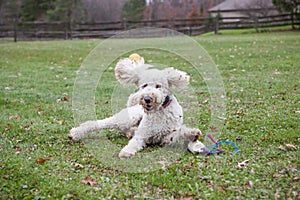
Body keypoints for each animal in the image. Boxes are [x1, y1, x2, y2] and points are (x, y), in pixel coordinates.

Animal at [69, 54, 205, 159]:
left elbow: (180, 133)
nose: (147, 98)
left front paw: (193, 136)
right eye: (144, 85)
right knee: (98, 123)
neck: (159, 112)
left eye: (158, 86)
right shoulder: (142, 135)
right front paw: (127, 151)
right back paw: (76, 133)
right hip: (127, 118)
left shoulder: (167, 137)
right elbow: (134, 143)